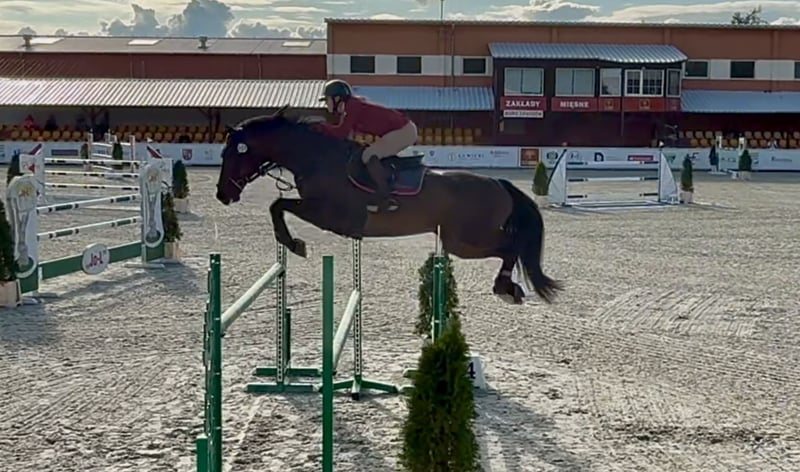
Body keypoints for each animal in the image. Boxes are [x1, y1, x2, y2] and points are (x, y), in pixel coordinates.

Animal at [215, 105, 563, 304]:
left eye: (233, 153)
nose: (222, 195)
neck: (316, 158)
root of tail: (498, 183)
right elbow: (278, 205)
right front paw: (291, 241)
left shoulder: (330, 215)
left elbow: (278, 205)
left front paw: (294, 243)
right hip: (458, 240)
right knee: (511, 245)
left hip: (466, 240)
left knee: (511, 245)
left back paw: (505, 287)